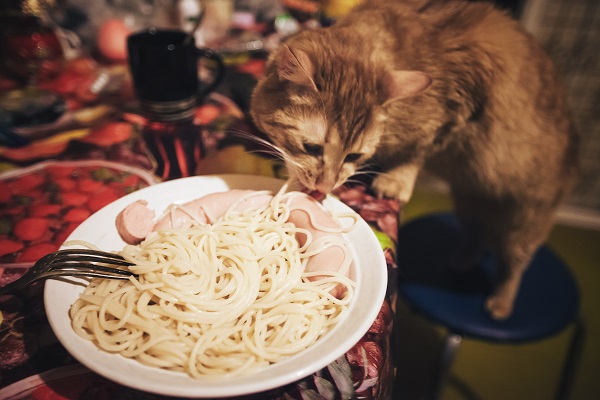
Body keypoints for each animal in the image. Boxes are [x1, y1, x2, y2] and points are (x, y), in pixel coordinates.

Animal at [246, 0, 580, 318]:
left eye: (354, 155)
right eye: (312, 147)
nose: (325, 187)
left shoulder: (450, 119)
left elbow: (414, 153)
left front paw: (395, 181)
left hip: (523, 221)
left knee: (514, 263)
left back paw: (500, 303)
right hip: (469, 204)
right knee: (476, 236)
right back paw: (463, 261)